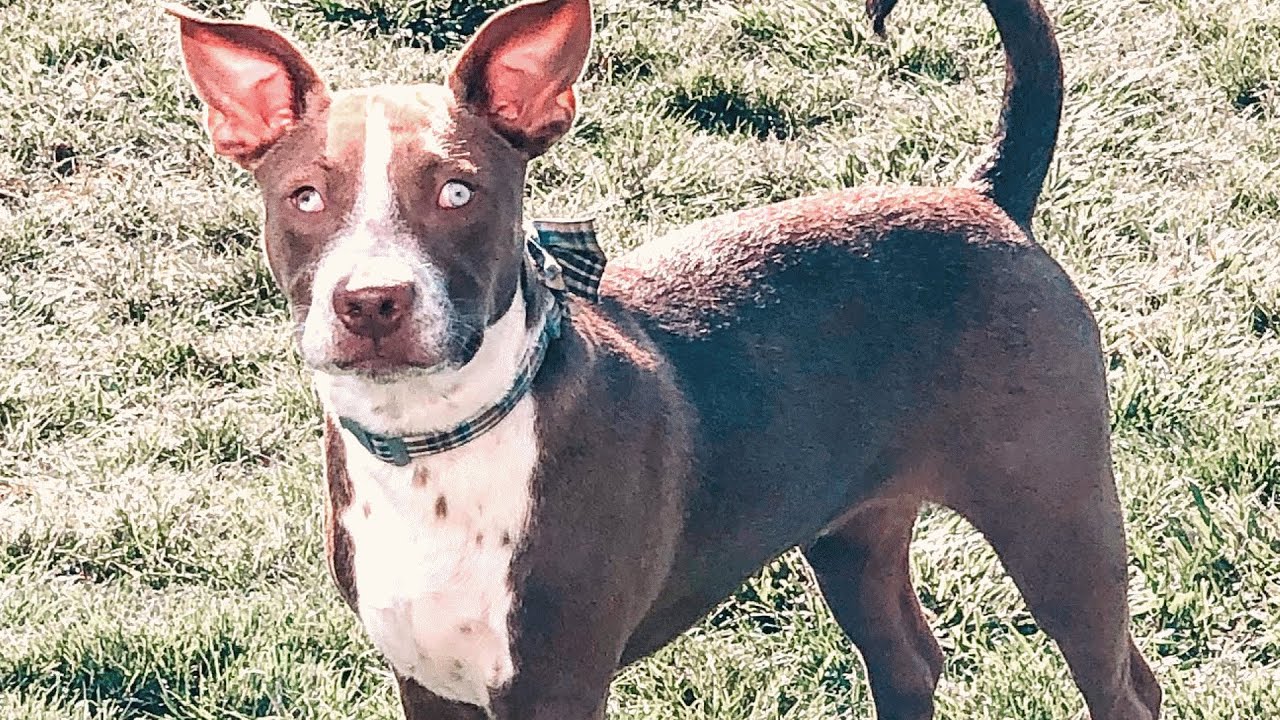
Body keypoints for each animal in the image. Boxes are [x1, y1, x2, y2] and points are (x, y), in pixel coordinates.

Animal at [167, 0, 1162, 712]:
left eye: (458, 191)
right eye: (304, 197)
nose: (372, 301)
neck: (436, 444)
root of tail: (986, 197)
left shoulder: (556, 684)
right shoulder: (427, 681)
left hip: (1059, 518)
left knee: (1125, 683)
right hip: (854, 530)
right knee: (910, 661)